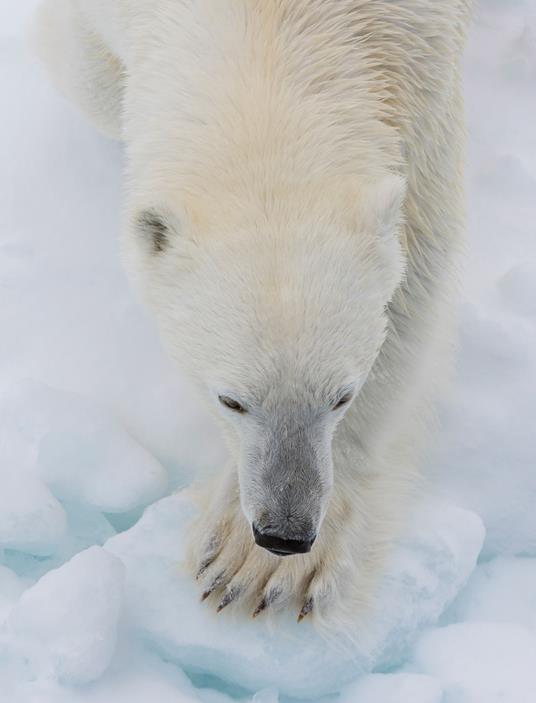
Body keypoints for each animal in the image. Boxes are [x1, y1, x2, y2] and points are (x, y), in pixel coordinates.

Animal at [32, 1, 468, 632]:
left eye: (343, 396)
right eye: (230, 400)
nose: (284, 534)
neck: (273, 25)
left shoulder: (422, 81)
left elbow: (417, 278)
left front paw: (252, 568)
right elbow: (88, 79)